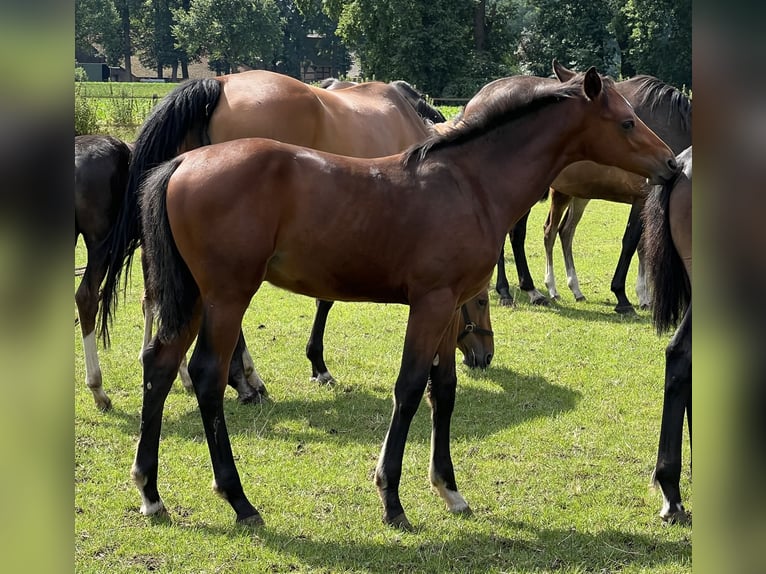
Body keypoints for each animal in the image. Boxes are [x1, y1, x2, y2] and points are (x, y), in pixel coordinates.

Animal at [496, 75, 692, 316]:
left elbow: (644, 245)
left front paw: (644, 296)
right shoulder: (641, 199)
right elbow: (631, 243)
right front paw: (623, 296)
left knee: (557, 231)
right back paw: (510, 291)